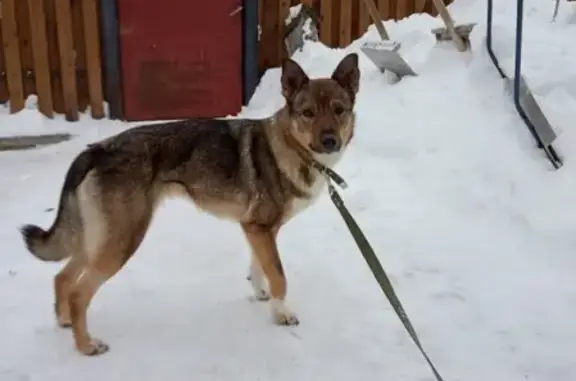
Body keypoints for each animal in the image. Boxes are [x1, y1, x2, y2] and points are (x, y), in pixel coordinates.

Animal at [20, 52, 360, 354]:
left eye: (339, 110)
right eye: (308, 113)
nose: (330, 141)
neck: (293, 148)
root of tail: (96, 149)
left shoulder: (258, 229)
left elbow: (259, 266)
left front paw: (260, 293)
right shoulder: (259, 227)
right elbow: (279, 274)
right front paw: (281, 314)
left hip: (99, 238)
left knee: (62, 276)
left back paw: (64, 322)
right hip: (122, 240)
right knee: (79, 292)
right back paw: (86, 346)